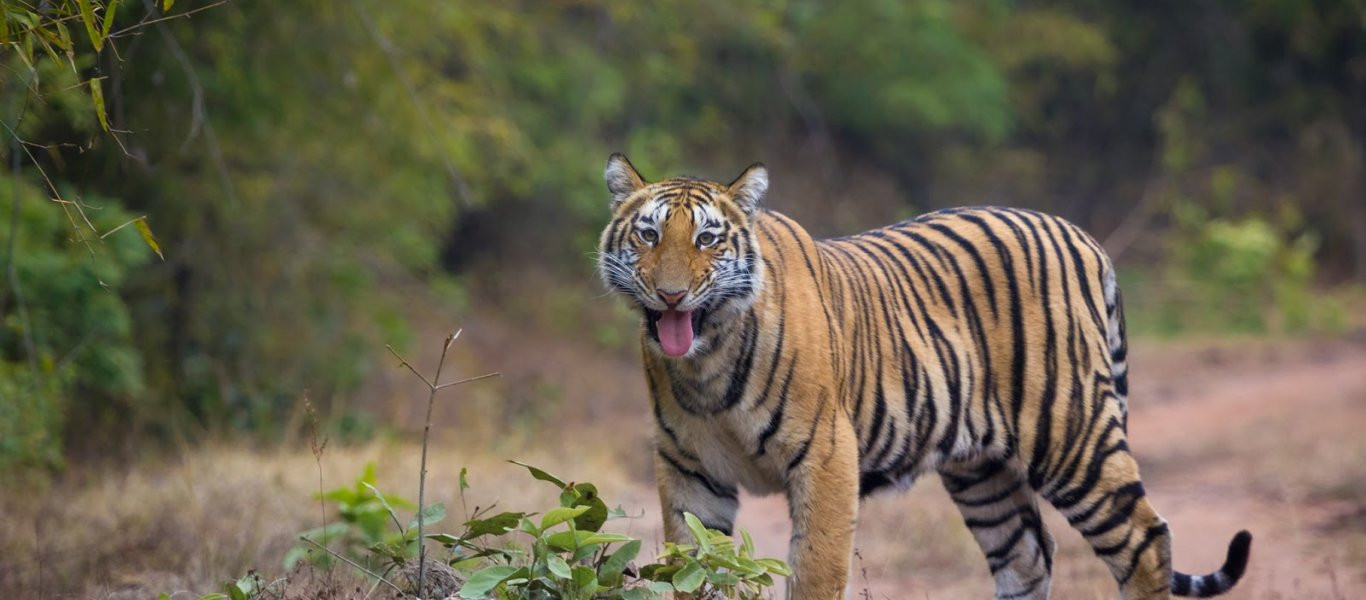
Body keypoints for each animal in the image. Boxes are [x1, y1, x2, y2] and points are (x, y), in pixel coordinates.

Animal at [592, 152, 1251, 598]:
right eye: (648, 234)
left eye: (707, 238)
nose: (671, 295)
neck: (706, 360)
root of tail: (1082, 235)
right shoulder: (689, 470)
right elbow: (695, 568)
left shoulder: (826, 457)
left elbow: (815, 572)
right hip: (983, 469)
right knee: (1028, 555)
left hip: (1071, 435)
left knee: (1146, 541)